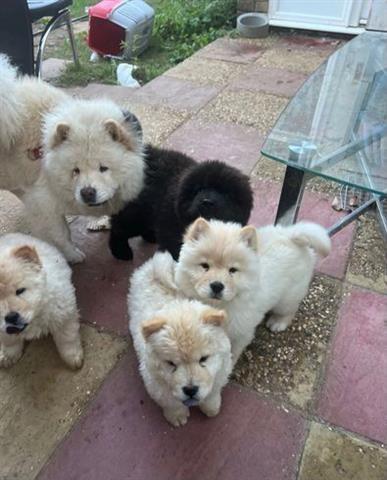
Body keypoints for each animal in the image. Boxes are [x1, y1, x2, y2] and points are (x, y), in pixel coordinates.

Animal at [0, 232, 83, 368]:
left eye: (20, 291)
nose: (11, 317)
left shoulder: (64, 314)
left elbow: (67, 338)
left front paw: (73, 357)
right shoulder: (4, 332)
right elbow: (10, 341)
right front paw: (8, 356)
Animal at [109, 144, 255, 260]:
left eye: (225, 194)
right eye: (198, 190)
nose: (207, 201)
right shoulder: (173, 237)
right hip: (135, 216)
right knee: (118, 228)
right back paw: (120, 251)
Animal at [129, 253, 232, 426]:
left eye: (203, 359)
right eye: (171, 363)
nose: (190, 390)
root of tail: (151, 265)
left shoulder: (219, 373)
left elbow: (212, 394)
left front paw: (211, 408)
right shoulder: (156, 384)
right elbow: (172, 402)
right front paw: (177, 417)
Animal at [168, 220, 332, 364]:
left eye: (232, 270)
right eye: (204, 266)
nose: (217, 286)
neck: (220, 306)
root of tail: (290, 236)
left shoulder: (240, 333)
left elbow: (233, 352)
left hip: (287, 298)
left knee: (289, 310)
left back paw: (278, 323)